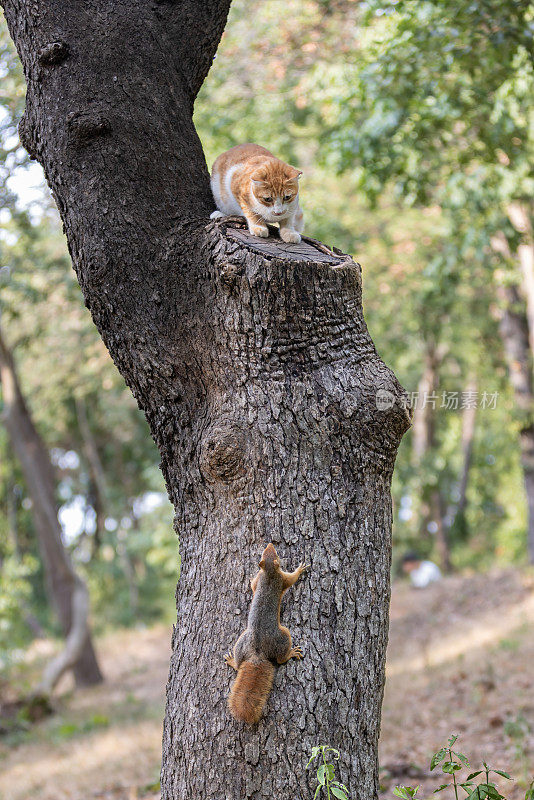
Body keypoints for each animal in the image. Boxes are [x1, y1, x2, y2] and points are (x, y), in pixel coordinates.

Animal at [226, 544, 310, 724]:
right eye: (274, 553)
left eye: (268, 552)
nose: (270, 544)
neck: (269, 572)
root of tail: (257, 653)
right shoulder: (282, 578)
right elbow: (292, 579)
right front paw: (300, 569)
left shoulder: (261, 578)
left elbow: (253, 585)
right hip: (283, 635)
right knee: (280, 659)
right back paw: (291, 653)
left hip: (241, 641)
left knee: (238, 664)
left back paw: (232, 661)